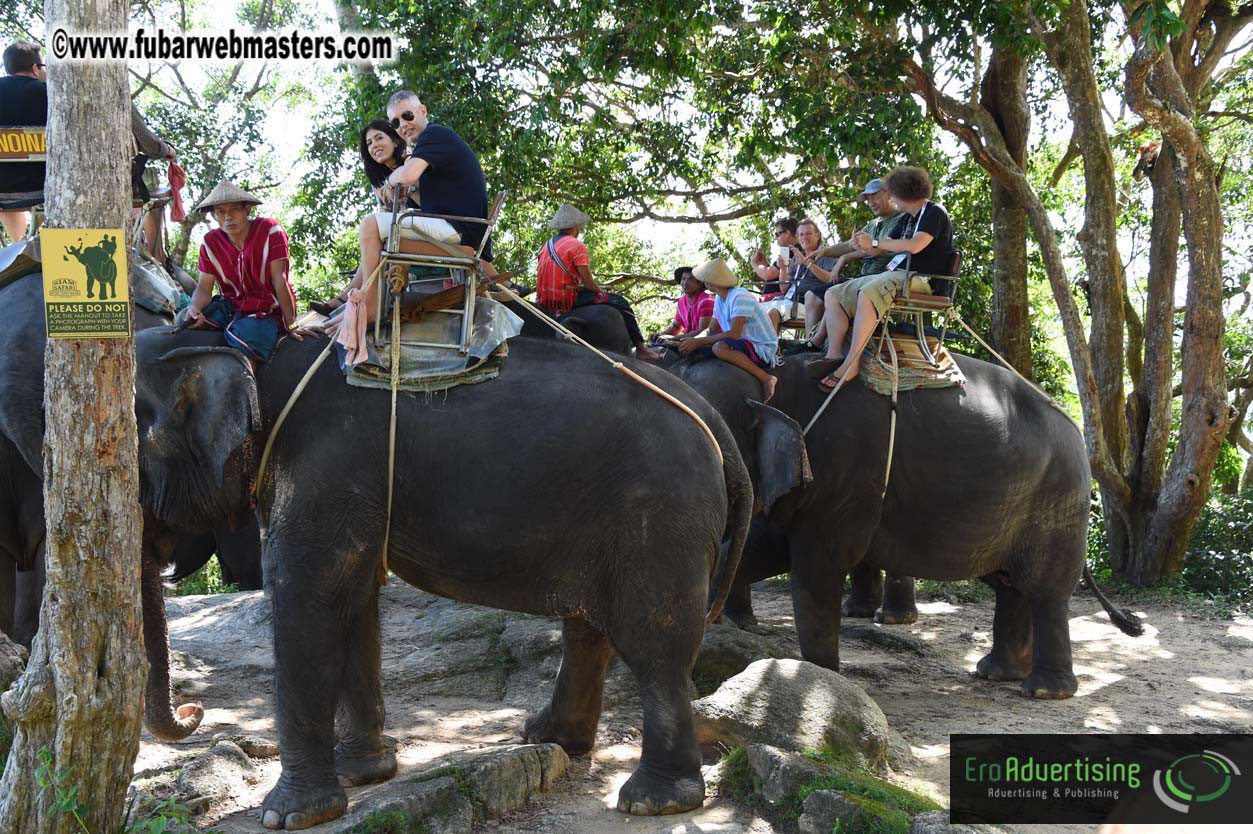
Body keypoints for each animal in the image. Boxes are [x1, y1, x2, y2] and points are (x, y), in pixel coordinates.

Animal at [132, 326, 753, 830]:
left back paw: (653, 801)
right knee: (590, 626)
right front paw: (367, 775)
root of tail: (718, 424)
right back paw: (549, 738)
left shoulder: (325, 466)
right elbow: (355, 597)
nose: (194, 712)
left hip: (663, 513)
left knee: (656, 643)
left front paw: (289, 817)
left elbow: (306, 597)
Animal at [665, 349, 1141, 699]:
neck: (778, 376)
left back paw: (1043, 691)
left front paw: (823, 680)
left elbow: (816, 568)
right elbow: (754, 549)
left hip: (1058, 499)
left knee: (1046, 590)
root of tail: (1074, 425)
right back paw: (995, 674)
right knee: (1009, 585)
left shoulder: (846, 468)